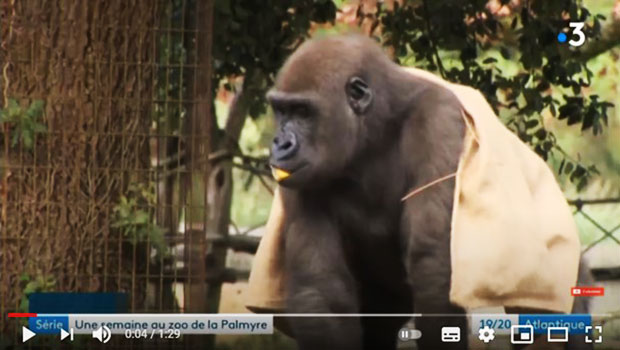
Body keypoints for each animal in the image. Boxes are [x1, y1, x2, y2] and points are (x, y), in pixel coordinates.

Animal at [264, 33, 588, 350]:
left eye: (303, 112)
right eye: (281, 111)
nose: (280, 144)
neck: (376, 126)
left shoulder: (437, 118)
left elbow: (431, 262)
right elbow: (320, 289)